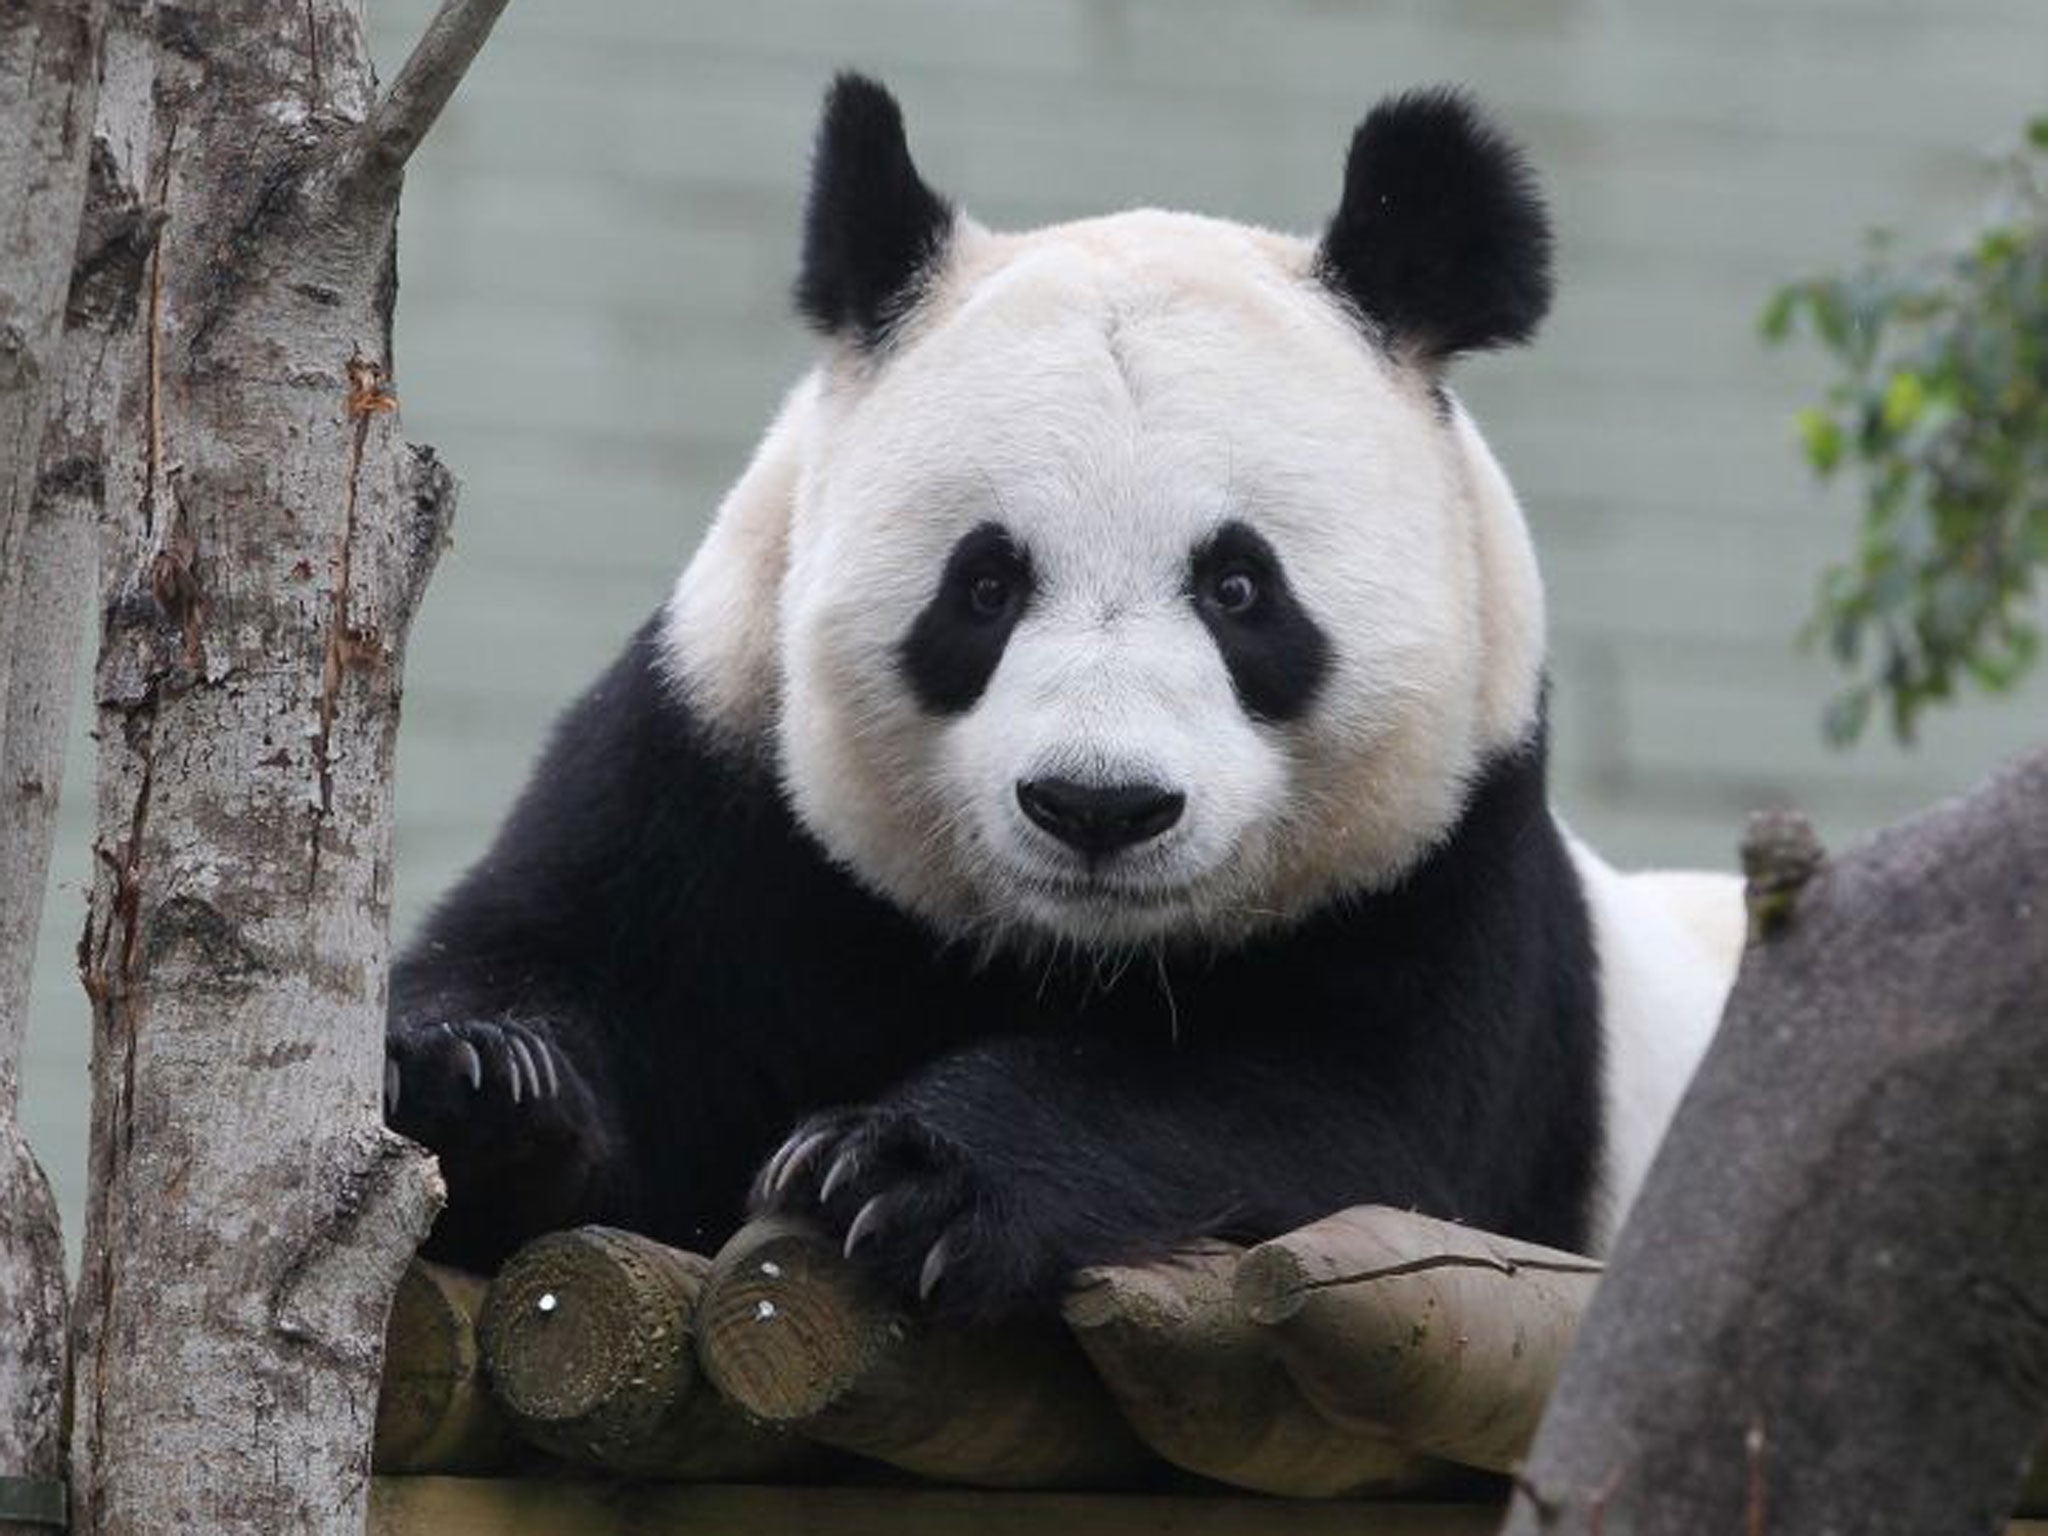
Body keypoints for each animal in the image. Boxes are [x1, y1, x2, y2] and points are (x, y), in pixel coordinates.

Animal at [387, 75, 1744, 1327]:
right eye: (984, 585)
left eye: (1239, 587)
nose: (1098, 807)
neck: (1074, 955)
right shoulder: (715, 772)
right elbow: (574, 966)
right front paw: (474, 1085)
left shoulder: (1447, 868)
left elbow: (1321, 1119)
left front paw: (902, 1176)